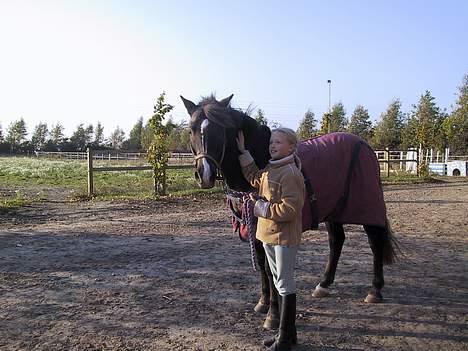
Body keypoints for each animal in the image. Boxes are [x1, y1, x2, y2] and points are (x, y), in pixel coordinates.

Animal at [181, 93, 396, 330]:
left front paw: (273, 315)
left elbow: (271, 270)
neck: (263, 158)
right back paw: (323, 284)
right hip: (333, 211)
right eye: (191, 129)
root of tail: (365, 146)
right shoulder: (254, 230)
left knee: (375, 242)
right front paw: (263, 303)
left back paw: (375, 290)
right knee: (337, 241)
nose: (204, 175)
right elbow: (262, 266)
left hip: (367, 208)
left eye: (220, 130)